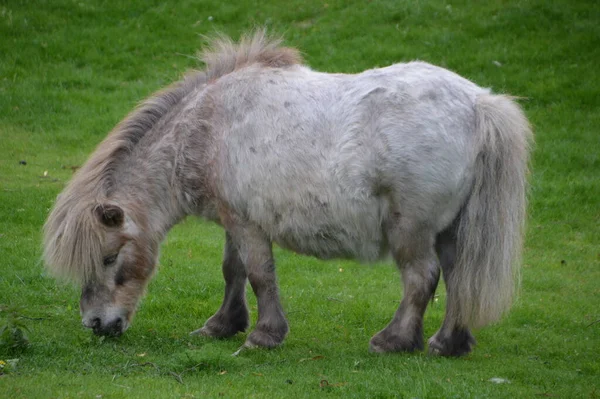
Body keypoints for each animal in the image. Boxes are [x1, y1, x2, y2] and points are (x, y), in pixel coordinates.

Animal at [42, 30, 532, 356]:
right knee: (456, 276)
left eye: (109, 258)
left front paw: (263, 335)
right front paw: (223, 325)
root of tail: (478, 104)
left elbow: (260, 274)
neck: (208, 130)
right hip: (451, 228)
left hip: (411, 228)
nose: (96, 323)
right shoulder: (235, 220)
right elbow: (233, 270)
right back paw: (448, 343)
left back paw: (393, 340)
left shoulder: (248, 224)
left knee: (422, 277)